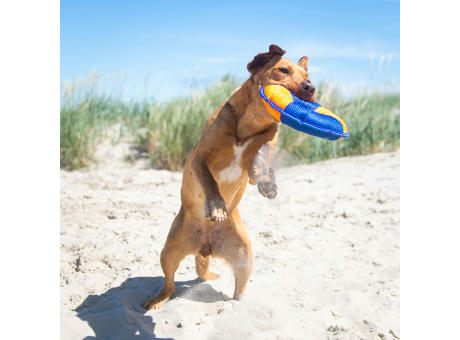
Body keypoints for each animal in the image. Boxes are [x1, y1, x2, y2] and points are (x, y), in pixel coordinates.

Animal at [144, 43, 316, 310]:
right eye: (283, 70)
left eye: (307, 76)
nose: (310, 87)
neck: (251, 123)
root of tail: (205, 246)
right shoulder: (199, 160)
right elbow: (210, 183)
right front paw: (217, 208)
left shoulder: (265, 142)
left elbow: (262, 164)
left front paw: (268, 184)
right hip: (169, 251)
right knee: (168, 285)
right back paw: (156, 301)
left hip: (244, 255)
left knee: (239, 288)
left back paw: (239, 305)